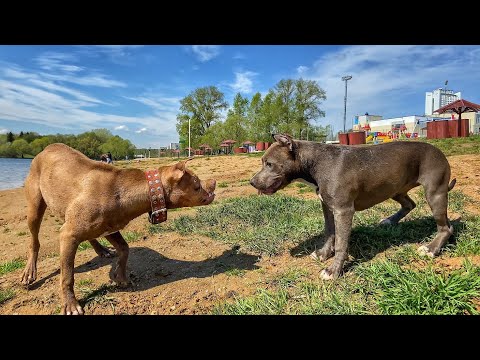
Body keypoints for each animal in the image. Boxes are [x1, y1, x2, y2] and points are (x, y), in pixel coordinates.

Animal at [21, 142, 217, 314]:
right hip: (35, 209)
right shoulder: (68, 235)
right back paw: (29, 272)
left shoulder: (111, 228)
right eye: (197, 185)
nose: (214, 182)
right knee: (34, 242)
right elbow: (67, 275)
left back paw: (102, 250)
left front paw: (120, 276)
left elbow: (125, 249)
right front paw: (70, 304)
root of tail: (46, 148)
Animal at [249, 134, 456, 280]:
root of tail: (438, 150)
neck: (315, 163)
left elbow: (341, 243)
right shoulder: (327, 207)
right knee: (410, 204)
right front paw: (324, 254)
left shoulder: (343, 211)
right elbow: (329, 233)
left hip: (435, 193)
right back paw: (390, 221)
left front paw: (333, 270)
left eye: (269, 164)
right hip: (396, 188)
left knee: (446, 227)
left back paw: (430, 249)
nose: (252, 182)